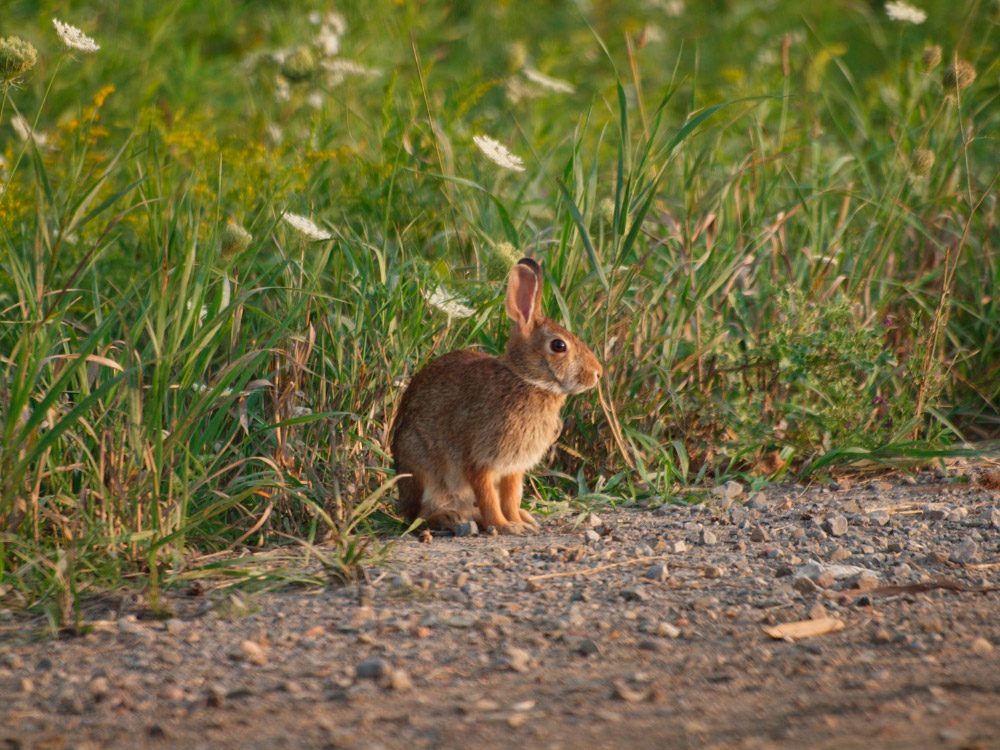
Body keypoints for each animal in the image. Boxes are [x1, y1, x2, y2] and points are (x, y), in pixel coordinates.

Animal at [390, 258, 600, 536]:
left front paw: (519, 523)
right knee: (422, 514)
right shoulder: (479, 460)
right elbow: (489, 497)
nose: (597, 373)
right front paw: (505, 526)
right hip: (424, 470)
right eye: (559, 346)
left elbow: (509, 499)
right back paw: (450, 518)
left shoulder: (513, 469)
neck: (527, 381)